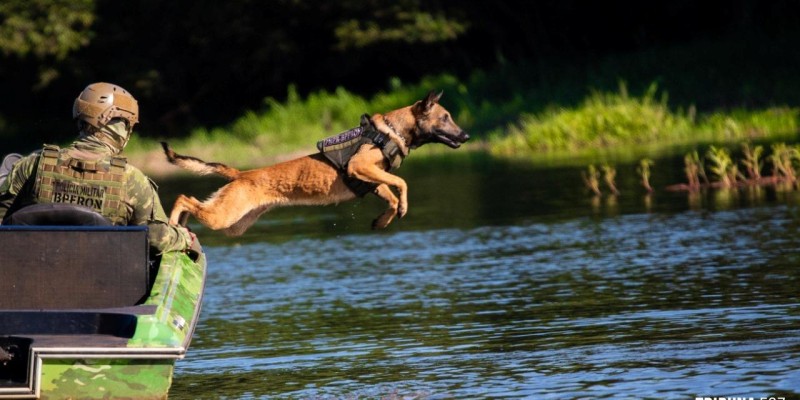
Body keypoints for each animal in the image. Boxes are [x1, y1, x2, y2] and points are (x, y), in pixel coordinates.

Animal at [162, 90, 468, 234]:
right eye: (445, 117)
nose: (466, 135)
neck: (391, 131)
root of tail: (241, 174)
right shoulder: (361, 167)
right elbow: (402, 183)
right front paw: (402, 207)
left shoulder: (371, 178)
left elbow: (391, 195)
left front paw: (383, 220)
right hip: (224, 216)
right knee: (183, 198)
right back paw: (174, 221)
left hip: (234, 224)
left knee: (191, 203)